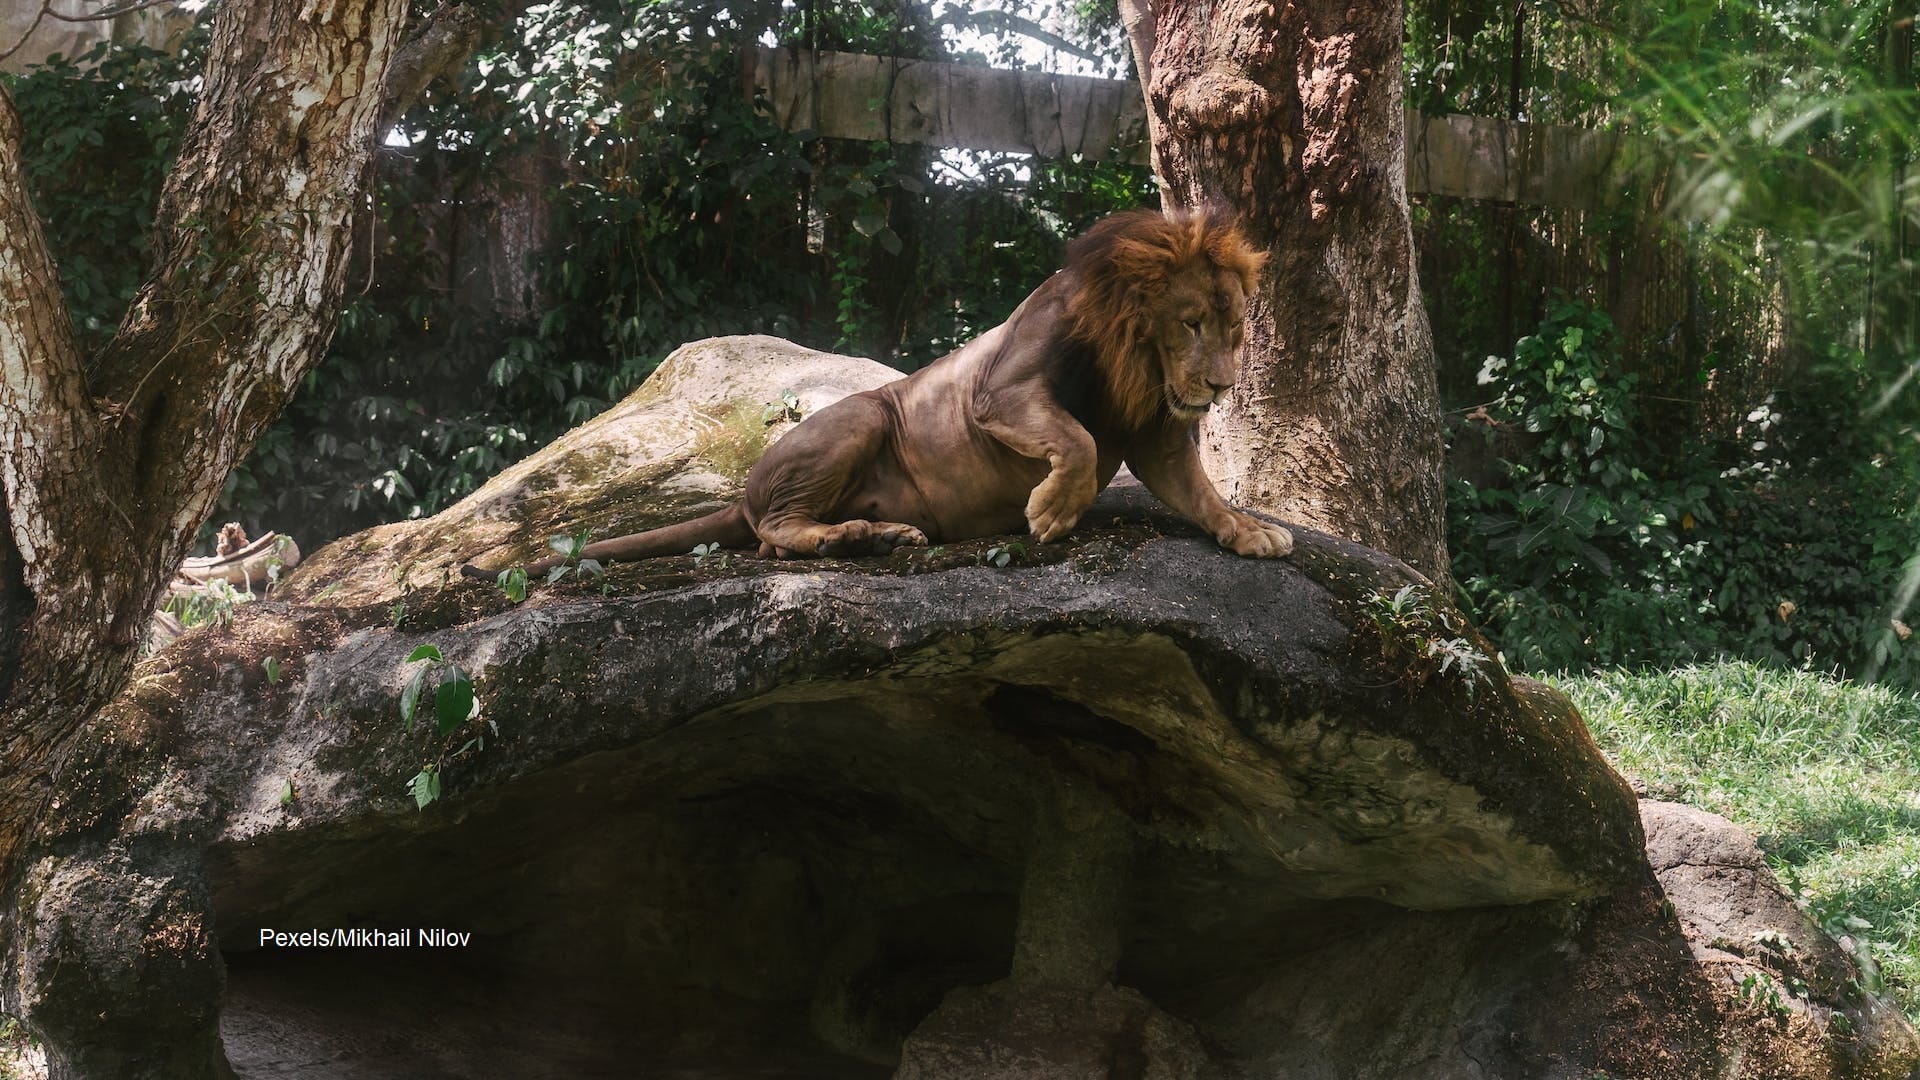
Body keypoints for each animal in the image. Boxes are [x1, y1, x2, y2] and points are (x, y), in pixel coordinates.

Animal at [491, 206, 1290, 576]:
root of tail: (741, 491)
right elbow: (1078, 440)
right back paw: (844, 535)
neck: (1134, 360)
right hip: (861, 419)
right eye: (1190, 323)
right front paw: (1054, 512)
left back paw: (879, 535)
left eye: (1234, 332)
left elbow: (1199, 491)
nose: (1220, 385)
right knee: (772, 534)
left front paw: (1248, 530)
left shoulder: (1156, 431)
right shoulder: (1001, 392)